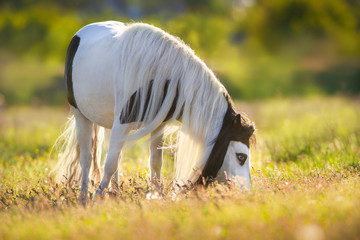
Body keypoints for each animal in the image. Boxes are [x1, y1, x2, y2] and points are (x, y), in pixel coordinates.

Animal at [52, 21, 256, 203]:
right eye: (241, 156)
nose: (246, 193)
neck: (160, 76)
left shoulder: (158, 125)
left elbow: (155, 162)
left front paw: (157, 195)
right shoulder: (122, 123)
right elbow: (109, 164)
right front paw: (97, 196)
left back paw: (115, 193)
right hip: (80, 115)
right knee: (87, 158)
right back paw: (84, 197)